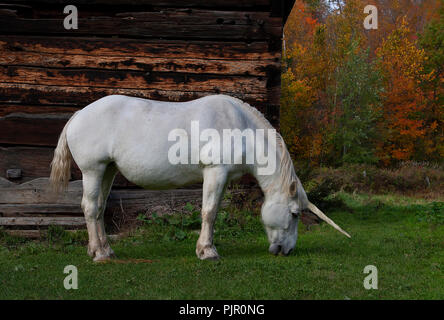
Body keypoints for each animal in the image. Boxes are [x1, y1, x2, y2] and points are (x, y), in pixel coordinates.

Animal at [50, 94, 350, 262]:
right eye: (295, 213)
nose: (286, 250)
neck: (241, 129)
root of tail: (79, 114)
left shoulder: (222, 176)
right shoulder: (215, 172)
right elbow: (209, 212)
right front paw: (208, 251)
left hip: (108, 170)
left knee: (99, 209)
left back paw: (105, 250)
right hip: (93, 170)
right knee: (90, 208)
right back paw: (99, 254)